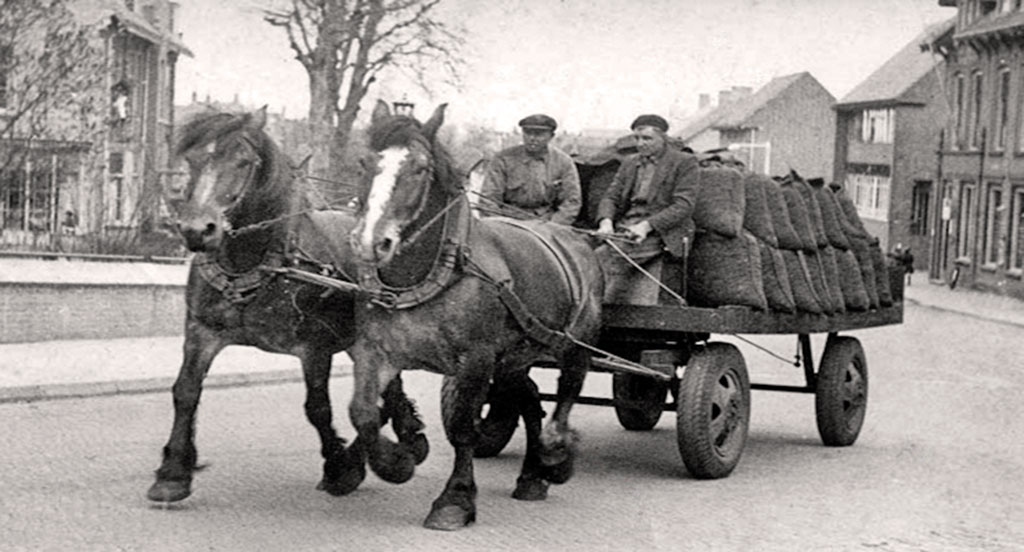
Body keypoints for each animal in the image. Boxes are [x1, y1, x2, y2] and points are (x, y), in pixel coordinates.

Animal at [146, 108, 425, 505]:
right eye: (194, 160)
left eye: (244, 162)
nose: (198, 230)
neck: (258, 260)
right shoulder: (202, 331)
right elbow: (185, 391)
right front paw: (173, 472)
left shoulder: (314, 347)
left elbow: (318, 409)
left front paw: (338, 466)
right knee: (387, 390)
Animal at [337, 102, 606, 532]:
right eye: (365, 162)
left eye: (420, 168)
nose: (369, 242)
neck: (437, 270)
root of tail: (578, 241)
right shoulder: (375, 352)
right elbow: (363, 411)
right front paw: (394, 461)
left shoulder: (475, 360)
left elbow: (463, 428)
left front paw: (455, 499)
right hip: (515, 355)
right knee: (529, 400)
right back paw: (531, 476)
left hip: (575, 343)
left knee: (567, 391)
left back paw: (554, 455)